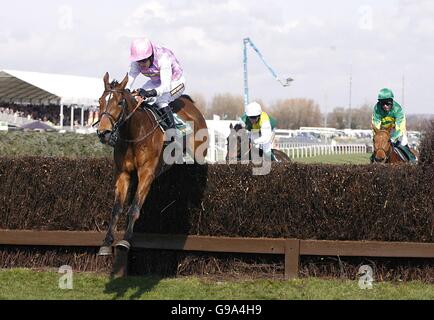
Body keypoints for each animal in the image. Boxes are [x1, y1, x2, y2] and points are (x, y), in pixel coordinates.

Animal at [96, 73, 209, 255]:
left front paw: (125, 240)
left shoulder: (147, 172)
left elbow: (134, 207)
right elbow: (117, 208)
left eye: (119, 102)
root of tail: (192, 106)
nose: (103, 133)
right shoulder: (123, 173)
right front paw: (106, 242)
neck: (134, 134)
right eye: (100, 101)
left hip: (198, 157)